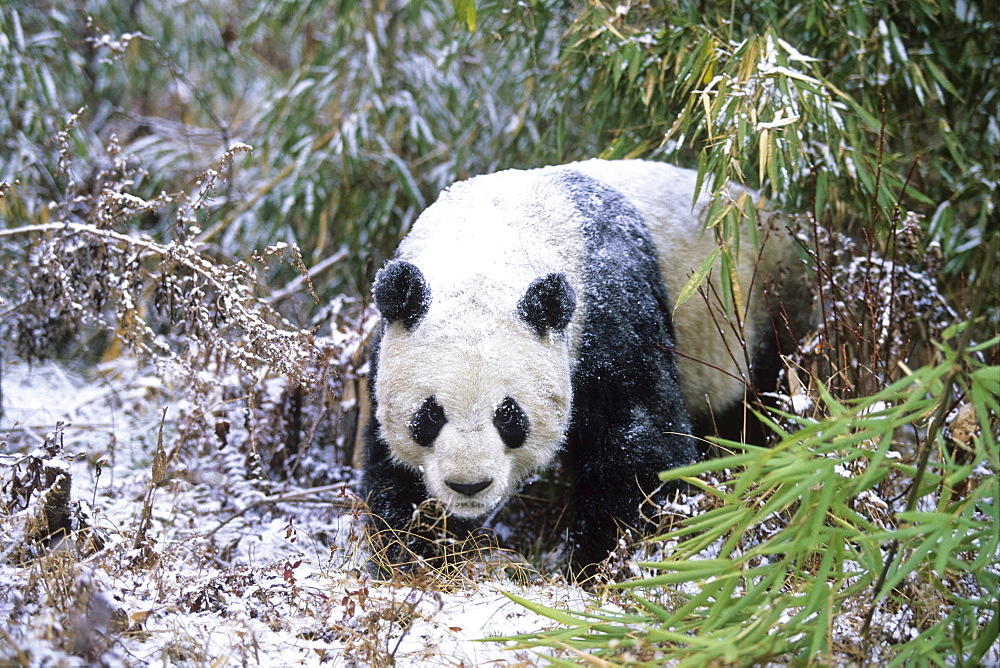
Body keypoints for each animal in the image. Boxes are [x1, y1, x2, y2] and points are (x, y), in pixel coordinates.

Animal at [360, 159, 804, 576]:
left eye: (509, 416)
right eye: (429, 415)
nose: (469, 485)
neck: (484, 246)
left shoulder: (610, 315)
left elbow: (641, 444)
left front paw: (596, 562)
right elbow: (394, 472)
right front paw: (415, 553)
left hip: (764, 308)